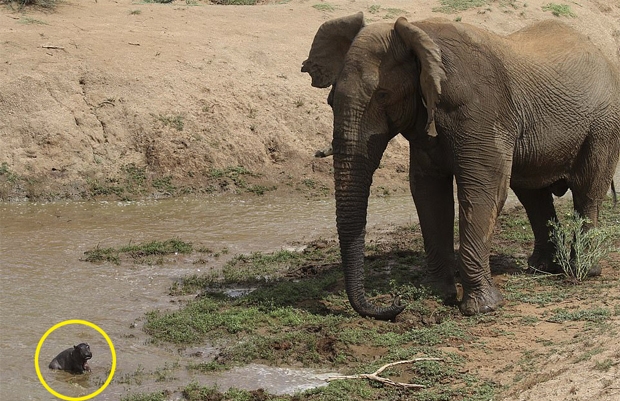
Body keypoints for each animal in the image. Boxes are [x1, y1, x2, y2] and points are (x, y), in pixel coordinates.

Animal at [302, 12, 620, 318]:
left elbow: (483, 191)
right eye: (330, 100)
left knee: (587, 190)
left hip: (603, 125)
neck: (417, 32)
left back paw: (584, 270)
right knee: (533, 195)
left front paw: (482, 308)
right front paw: (436, 294)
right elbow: (429, 194)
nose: (396, 304)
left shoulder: (481, 110)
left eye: (382, 96)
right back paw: (542, 268)